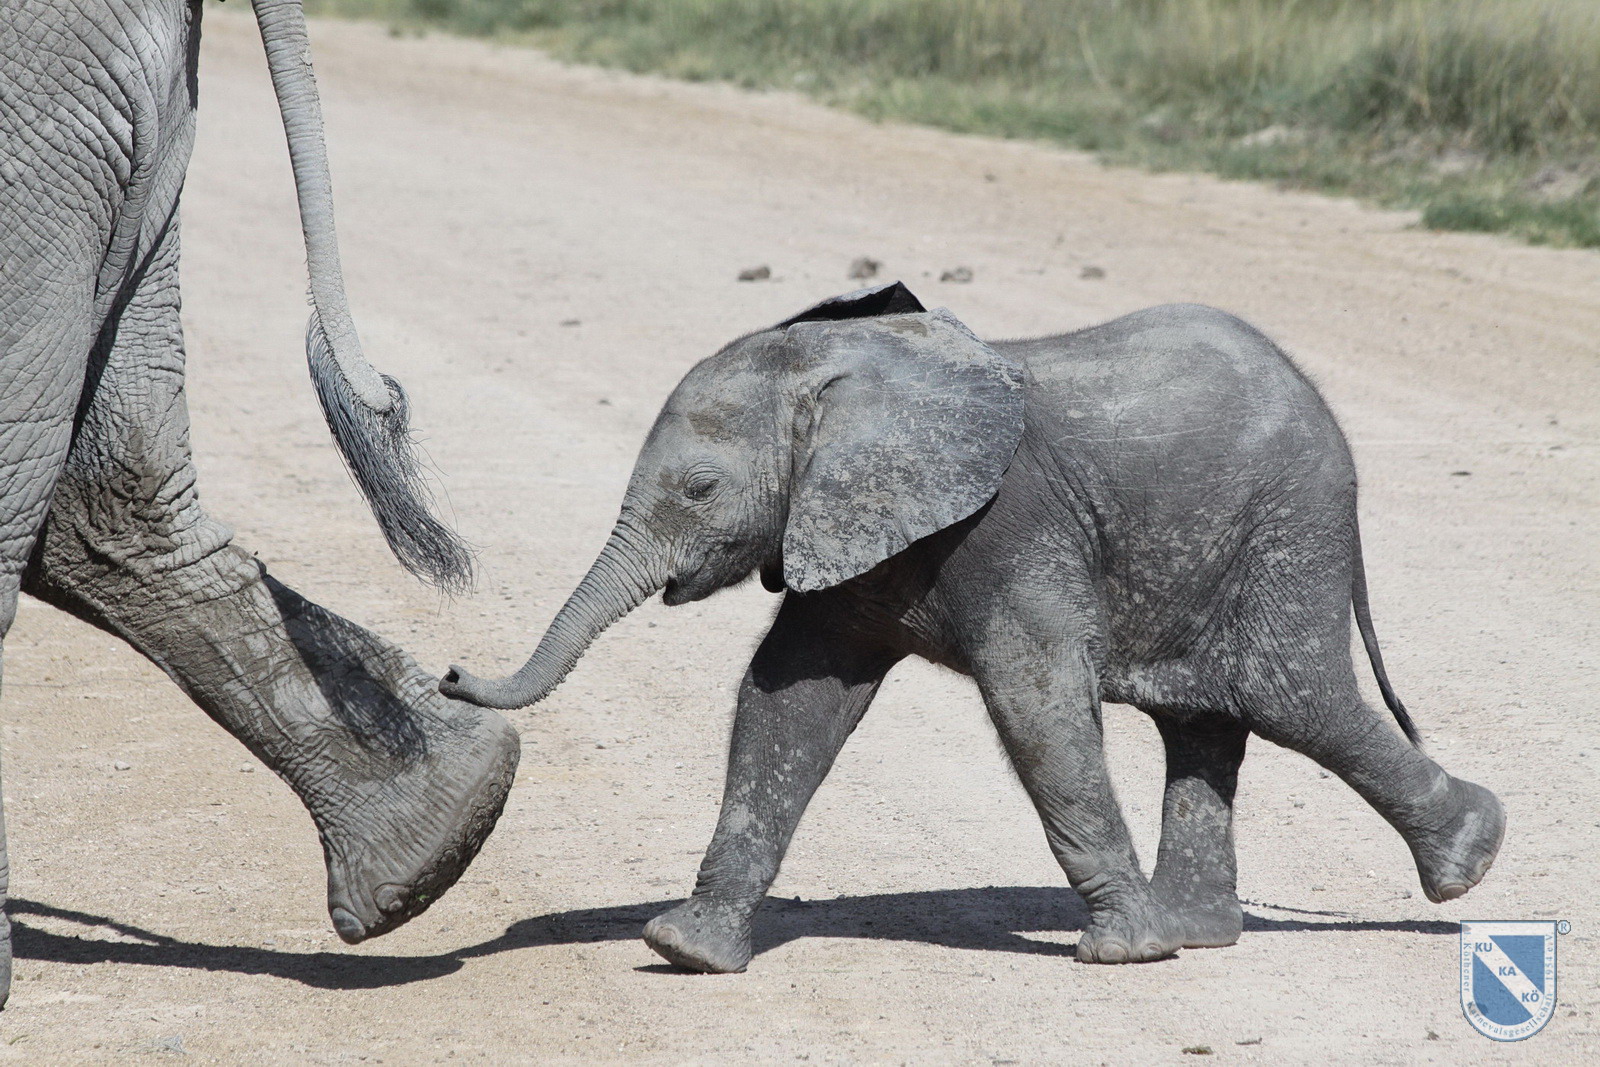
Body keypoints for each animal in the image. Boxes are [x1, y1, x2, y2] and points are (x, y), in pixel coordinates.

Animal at [443, 282, 1505, 972]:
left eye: (700, 489)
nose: (450, 673)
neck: (848, 365)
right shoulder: (851, 531)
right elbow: (787, 704)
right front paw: (685, 949)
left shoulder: (1010, 524)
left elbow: (1035, 702)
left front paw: (1122, 954)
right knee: (1209, 720)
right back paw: (1200, 931)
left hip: (1288, 527)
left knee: (1293, 697)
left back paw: (1468, 858)